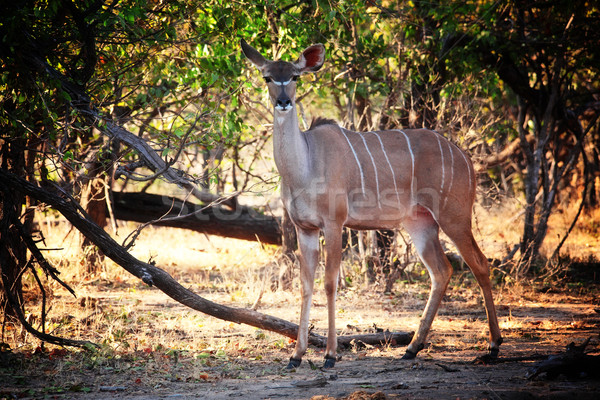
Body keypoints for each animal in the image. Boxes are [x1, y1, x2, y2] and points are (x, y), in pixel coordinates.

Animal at [241, 39, 504, 368]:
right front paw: (296, 356)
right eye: (267, 77)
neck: (306, 164)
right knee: (442, 271)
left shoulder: (334, 223)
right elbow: (305, 284)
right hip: (420, 223)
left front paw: (330, 355)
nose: (284, 101)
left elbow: (330, 282)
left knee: (480, 264)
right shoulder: (305, 229)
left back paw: (493, 346)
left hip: (454, 217)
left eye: (295, 76)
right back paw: (411, 348)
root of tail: (465, 158)